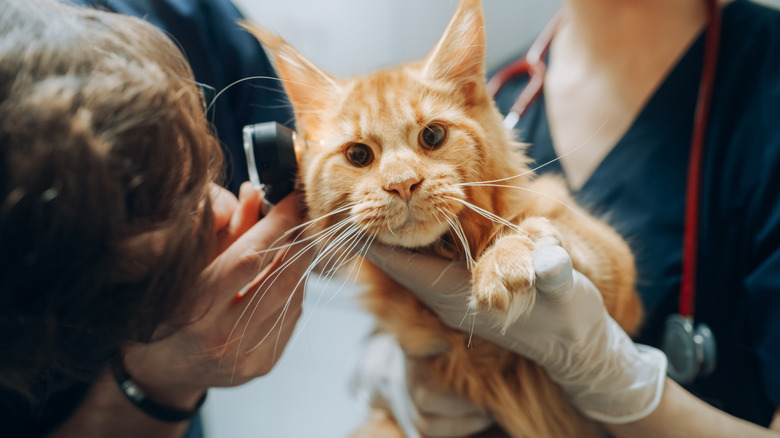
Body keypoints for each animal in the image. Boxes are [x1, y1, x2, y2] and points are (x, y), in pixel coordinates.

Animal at [242, 1, 640, 436]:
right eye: (359, 155)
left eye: (432, 136)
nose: (402, 184)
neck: (447, 251)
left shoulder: (617, 279)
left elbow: (555, 234)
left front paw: (507, 255)